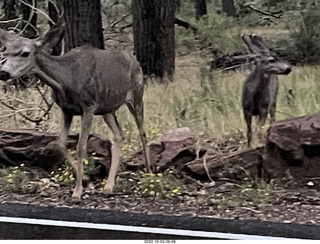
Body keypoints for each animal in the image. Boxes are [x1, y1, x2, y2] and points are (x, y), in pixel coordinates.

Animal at [0, 16, 151, 200]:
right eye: (5, 51)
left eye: (25, 53)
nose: (3, 72)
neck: (65, 81)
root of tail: (135, 61)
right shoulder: (66, 110)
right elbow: (60, 143)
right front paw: (86, 179)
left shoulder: (89, 106)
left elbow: (81, 147)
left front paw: (78, 191)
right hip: (107, 109)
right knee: (119, 135)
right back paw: (108, 186)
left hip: (136, 95)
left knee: (142, 133)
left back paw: (150, 174)